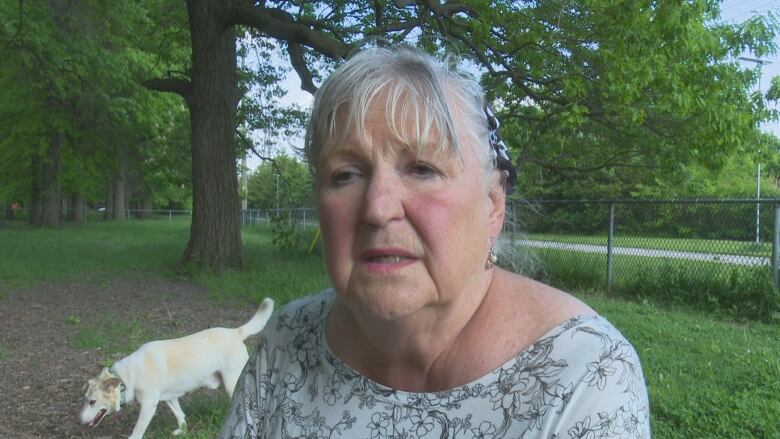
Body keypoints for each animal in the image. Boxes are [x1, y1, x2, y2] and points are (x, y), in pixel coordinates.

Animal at [79, 300, 274, 439]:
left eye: (92, 402)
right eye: (85, 400)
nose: (79, 421)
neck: (128, 378)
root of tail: (236, 332)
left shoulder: (148, 406)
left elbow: (137, 431)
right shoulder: (169, 397)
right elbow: (180, 414)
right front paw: (183, 431)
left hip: (233, 383)